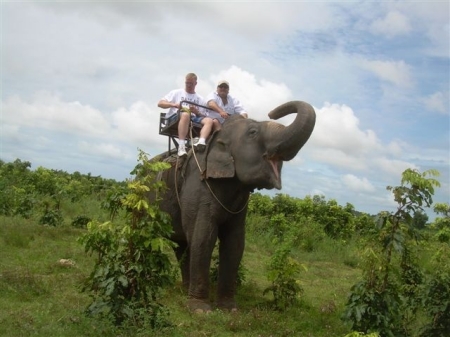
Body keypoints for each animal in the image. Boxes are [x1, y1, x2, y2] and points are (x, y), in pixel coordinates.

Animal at [155, 100, 316, 312]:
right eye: (253, 132)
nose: (272, 113)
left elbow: (235, 243)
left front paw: (229, 309)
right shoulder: (198, 183)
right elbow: (203, 238)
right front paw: (200, 310)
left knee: (181, 244)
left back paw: (184, 289)